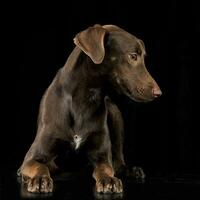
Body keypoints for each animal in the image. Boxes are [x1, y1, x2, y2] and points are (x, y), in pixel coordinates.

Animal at [16, 24, 161, 193]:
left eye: (143, 57)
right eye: (133, 56)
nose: (159, 93)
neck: (85, 99)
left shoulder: (101, 156)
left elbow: (106, 168)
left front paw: (108, 180)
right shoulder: (33, 157)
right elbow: (40, 166)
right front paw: (39, 179)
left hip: (115, 115)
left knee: (118, 161)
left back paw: (131, 170)